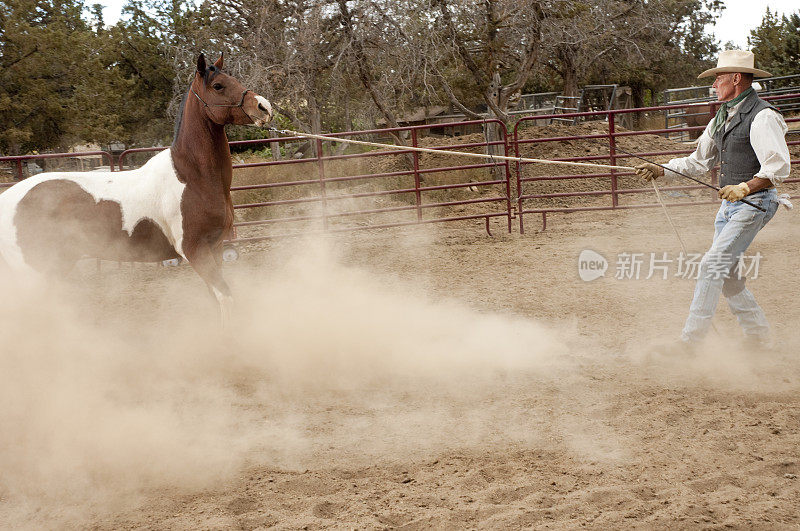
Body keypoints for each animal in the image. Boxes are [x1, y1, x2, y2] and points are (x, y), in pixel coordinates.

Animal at [0, 55, 274, 328]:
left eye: (234, 79)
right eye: (218, 85)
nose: (264, 107)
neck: (192, 176)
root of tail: (7, 199)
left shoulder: (214, 247)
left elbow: (216, 299)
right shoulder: (194, 250)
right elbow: (225, 297)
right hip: (32, 271)